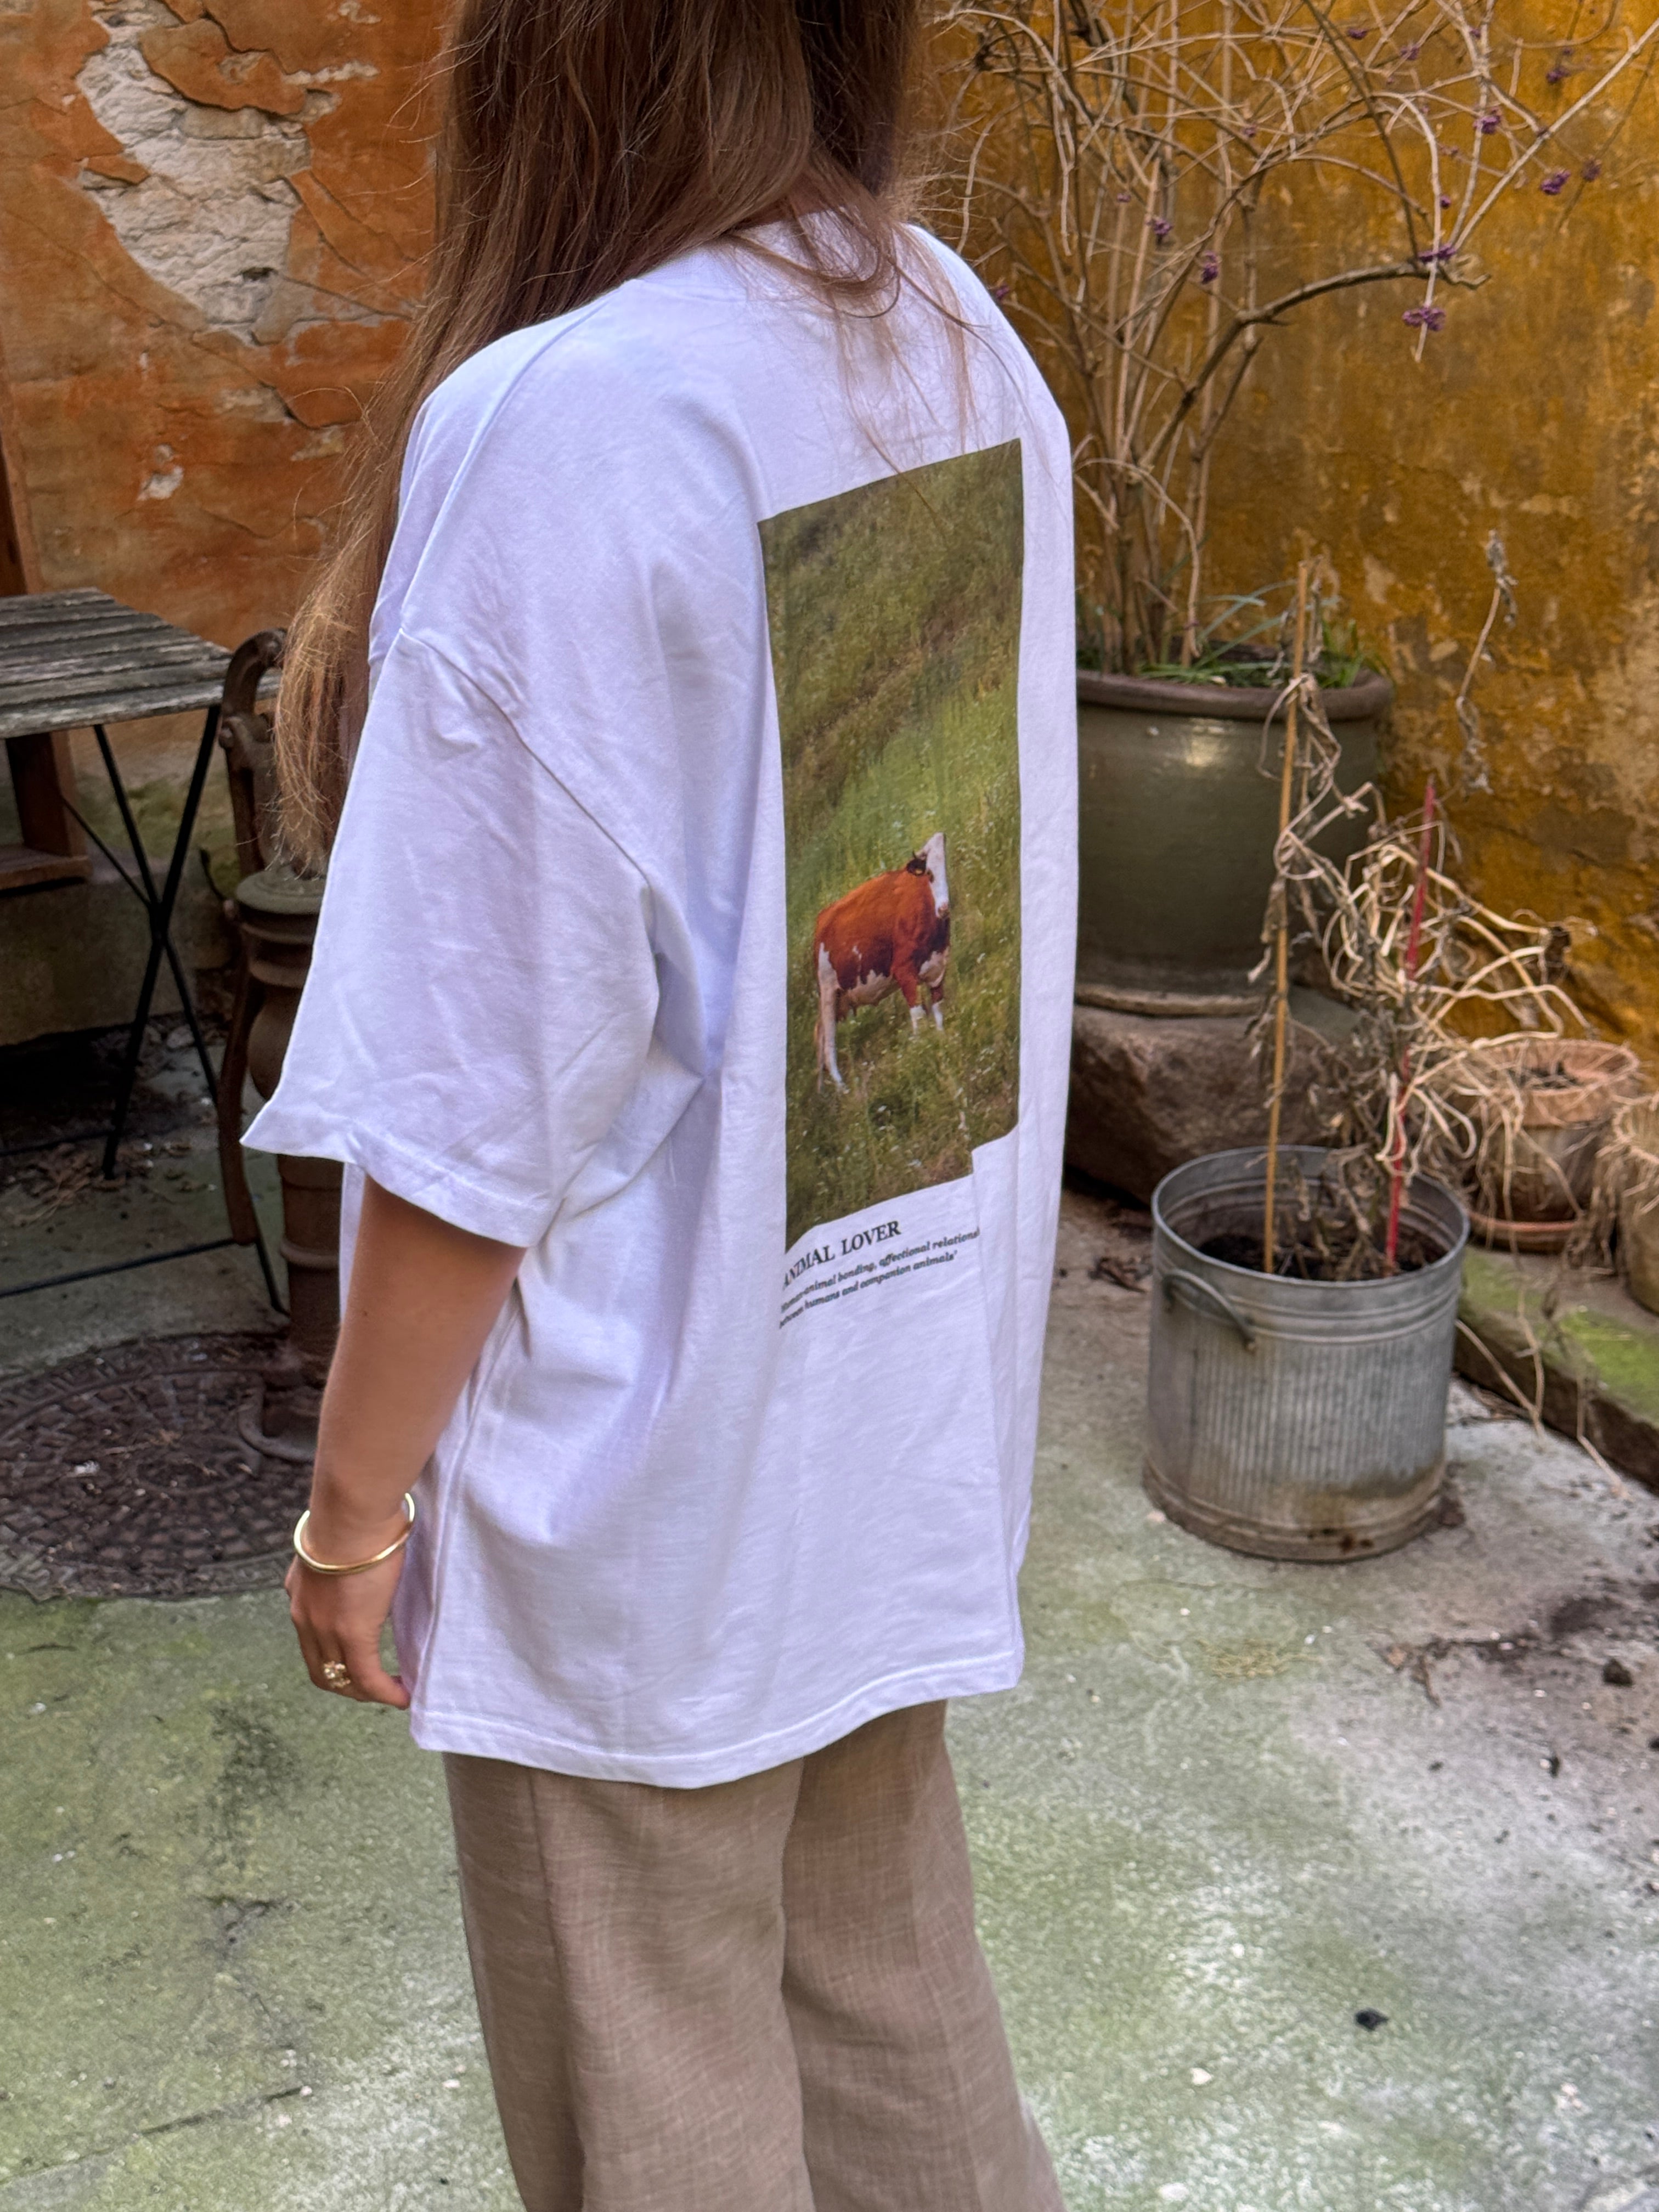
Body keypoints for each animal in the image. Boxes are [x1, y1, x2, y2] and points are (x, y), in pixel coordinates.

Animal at [813, 831, 951, 1092]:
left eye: (946, 868)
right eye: (929, 874)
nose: (944, 907)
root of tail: (822, 917)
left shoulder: (938, 967)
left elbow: (938, 1010)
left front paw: (943, 1041)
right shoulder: (903, 971)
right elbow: (919, 1016)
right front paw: (923, 1054)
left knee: (820, 1033)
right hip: (827, 990)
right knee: (828, 1043)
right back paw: (842, 1088)